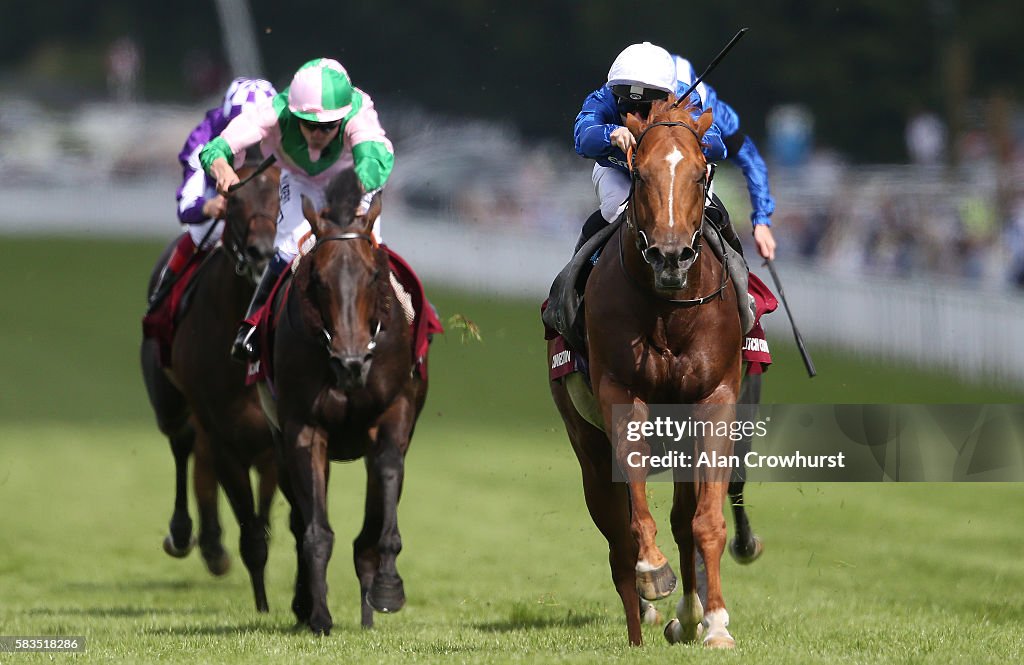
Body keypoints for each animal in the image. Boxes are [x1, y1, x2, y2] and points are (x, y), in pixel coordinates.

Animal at [141, 162, 280, 610]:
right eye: (233, 202)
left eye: (281, 199)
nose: (262, 253)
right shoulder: (223, 435)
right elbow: (252, 536)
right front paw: (264, 608)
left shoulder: (271, 443)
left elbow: (265, 520)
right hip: (170, 404)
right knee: (183, 444)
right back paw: (187, 534)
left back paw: (213, 545)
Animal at [260, 167, 428, 631]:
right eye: (317, 279)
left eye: (373, 275)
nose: (350, 361)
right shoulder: (302, 427)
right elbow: (315, 530)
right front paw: (318, 615)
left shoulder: (394, 414)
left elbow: (385, 486)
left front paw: (387, 587)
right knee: (299, 519)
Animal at [552, 100, 745, 647]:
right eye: (639, 174)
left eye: (702, 174)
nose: (671, 255)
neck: (669, 310)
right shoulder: (621, 393)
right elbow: (636, 515)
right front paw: (654, 571)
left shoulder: (715, 398)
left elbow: (705, 521)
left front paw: (715, 623)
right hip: (588, 447)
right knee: (617, 539)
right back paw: (641, 626)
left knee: (682, 520)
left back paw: (687, 616)